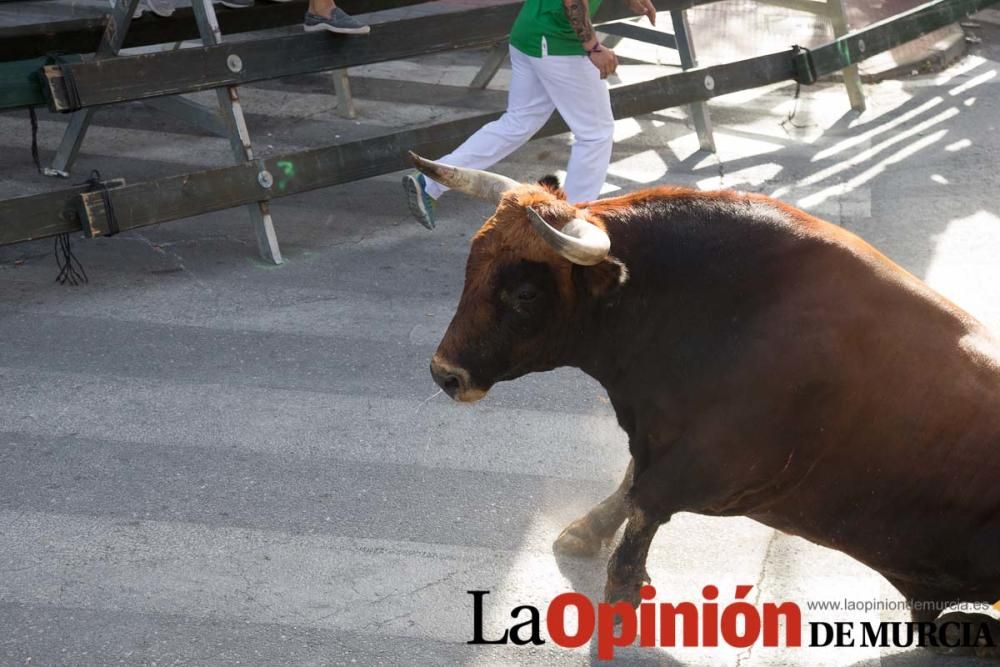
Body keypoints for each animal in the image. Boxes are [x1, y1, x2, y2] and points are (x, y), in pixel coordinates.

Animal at [408, 150, 1000, 652]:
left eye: (525, 293)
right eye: (471, 265)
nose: (445, 373)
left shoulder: (719, 462)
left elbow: (644, 506)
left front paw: (621, 599)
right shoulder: (659, 432)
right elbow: (630, 484)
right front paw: (587, 532)